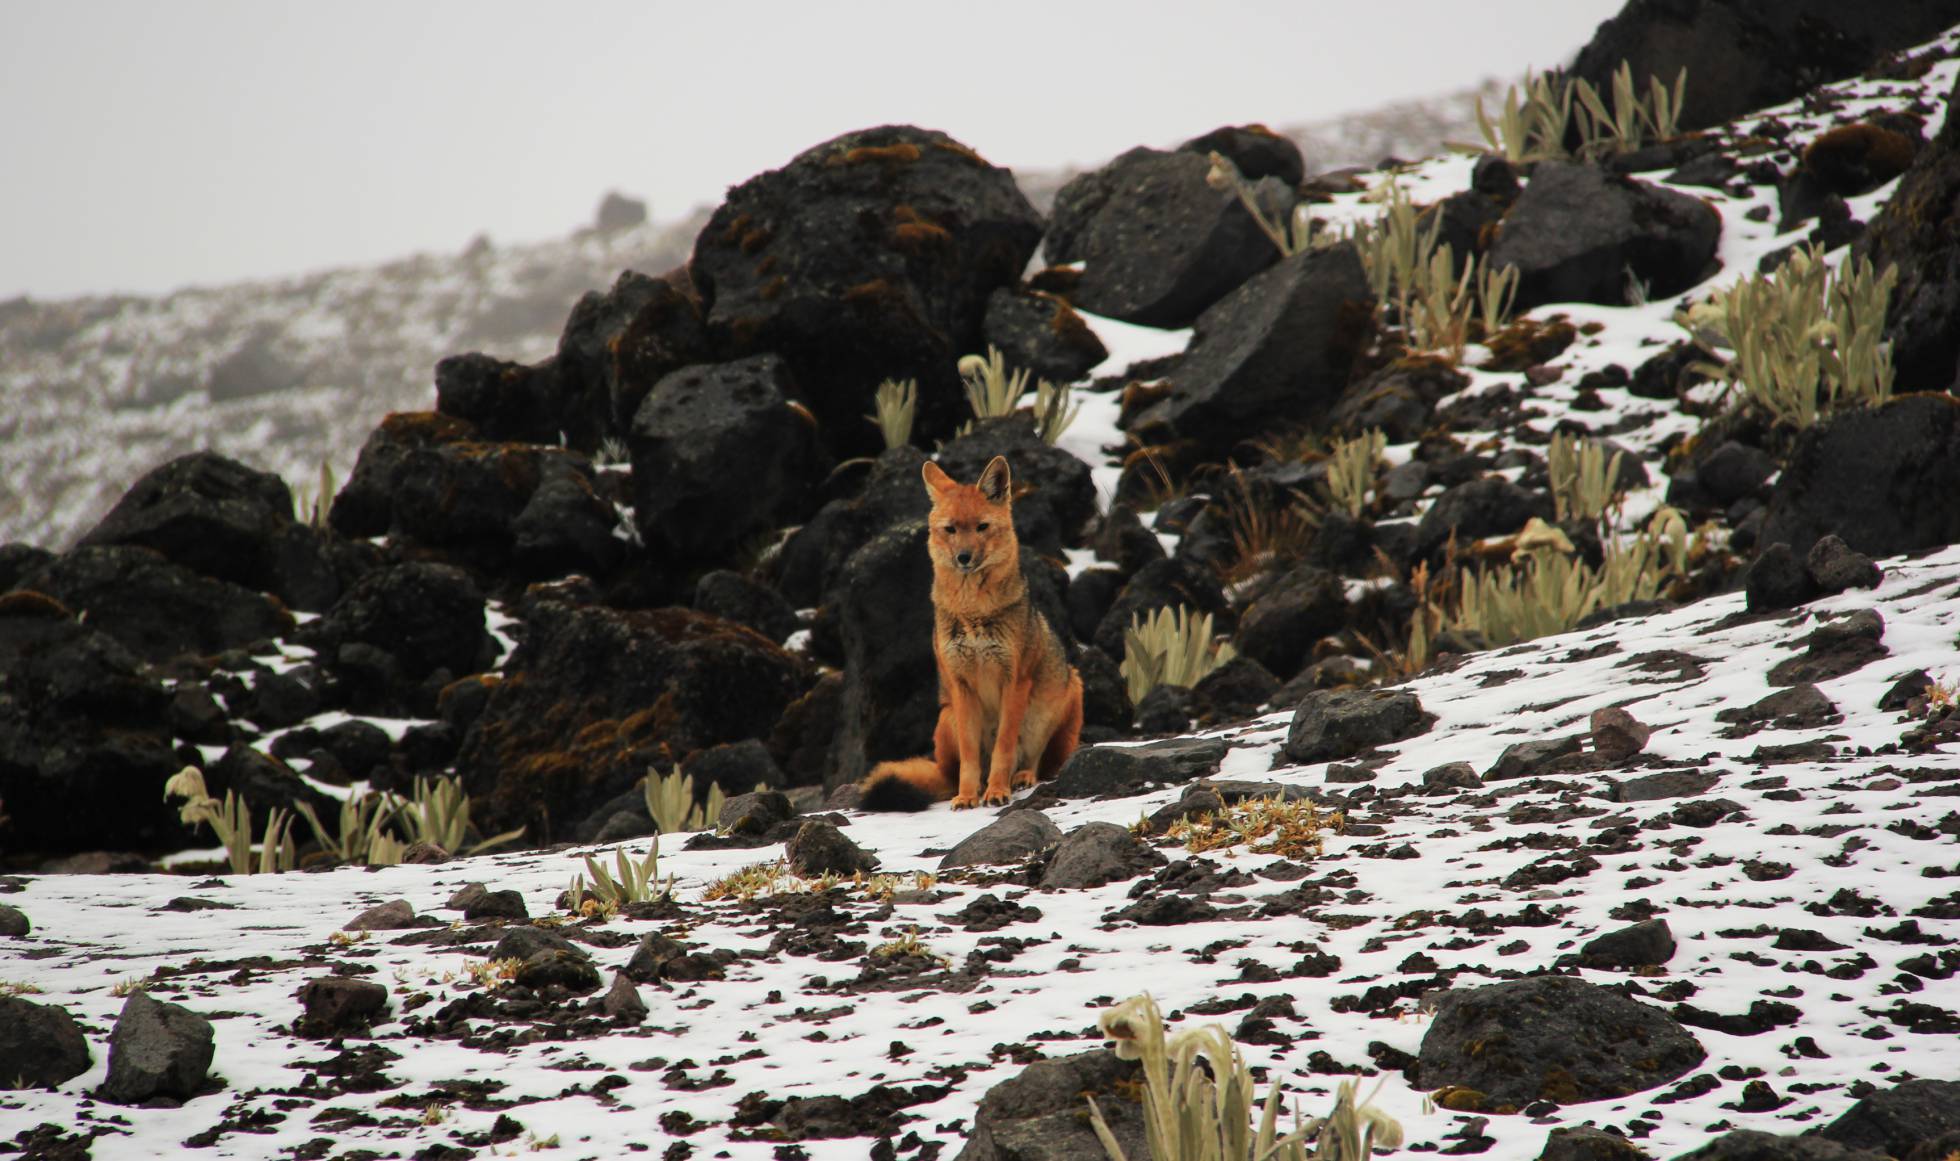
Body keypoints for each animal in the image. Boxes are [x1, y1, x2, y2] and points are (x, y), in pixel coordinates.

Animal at [862, 449, 1089, 811]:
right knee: (951, 772)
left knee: (1036, 761)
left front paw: (997, 791)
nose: (964, 557)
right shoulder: (962, 685)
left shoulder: (1015, 682)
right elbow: (970, 757)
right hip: (946, 719)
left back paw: (1021, 777)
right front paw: (968, 795)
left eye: (982, 527)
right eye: (951, 529)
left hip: (1059, 699)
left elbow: (1003, 748)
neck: (974, 613)